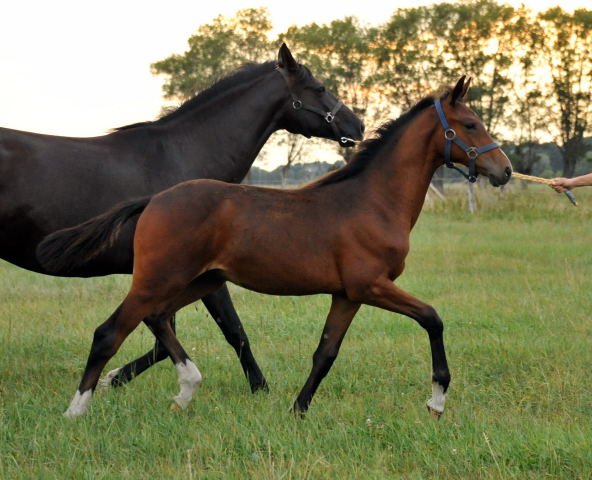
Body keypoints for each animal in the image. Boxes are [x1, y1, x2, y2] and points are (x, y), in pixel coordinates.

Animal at [0, 43, 364, 394]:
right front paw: (261, 388)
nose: (358, 126)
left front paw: (114, 378)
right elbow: (232, 330)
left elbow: (163, 339)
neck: (181, 155)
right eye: (319, 87)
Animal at [37, 75, 512, 416]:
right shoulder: (371, 286)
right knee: (110, 332)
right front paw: (437, 400)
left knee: (156, 319)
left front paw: (297, 410)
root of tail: (154, 199)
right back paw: (76, 412)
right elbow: (432, 318)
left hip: (199, 282)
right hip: (160, 279)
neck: (372, 200)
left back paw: (185, 389)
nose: (504, 170)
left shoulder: (347, 294)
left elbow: (325, 353)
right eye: (471, 124)